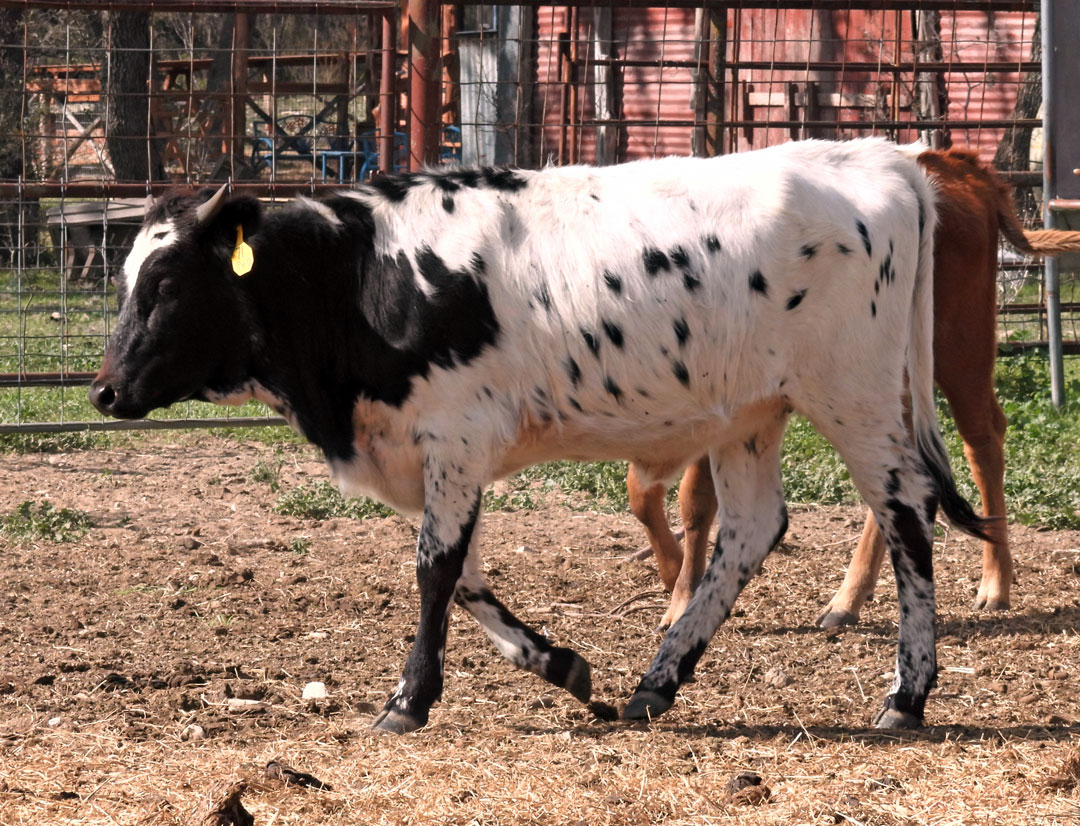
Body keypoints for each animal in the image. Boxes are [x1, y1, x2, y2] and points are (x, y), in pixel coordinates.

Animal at [92, 138, 989, 729]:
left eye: (166, 284)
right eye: (129, 278)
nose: (104, 391)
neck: (362, 274)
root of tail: (879, 159)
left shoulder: (453, 440)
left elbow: (435, 569)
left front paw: (408, 699)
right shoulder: (428, 457)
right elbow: (465, 576)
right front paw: (561, 665)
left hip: (855, 395)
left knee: (907, 514)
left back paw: (908, 694)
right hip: (752, 414)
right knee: (751, 529)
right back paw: (658, 681)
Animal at [630, 147, 1080, 626]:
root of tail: (953, 162)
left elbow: (686, 497)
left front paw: (679, 590)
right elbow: (667, 496)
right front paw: (680, 586)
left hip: (959, 348)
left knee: (982, 439)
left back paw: (994, 583)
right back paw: (850, 597)